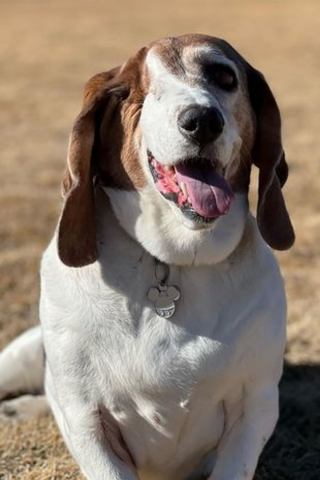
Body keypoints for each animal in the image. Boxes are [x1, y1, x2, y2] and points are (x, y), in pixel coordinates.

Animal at [0, 35, 296, 480]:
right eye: (128, 93)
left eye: (224, 76)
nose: (202, 120)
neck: (172, 261)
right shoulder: (88, 420)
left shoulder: (254, 409)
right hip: (23, 353)